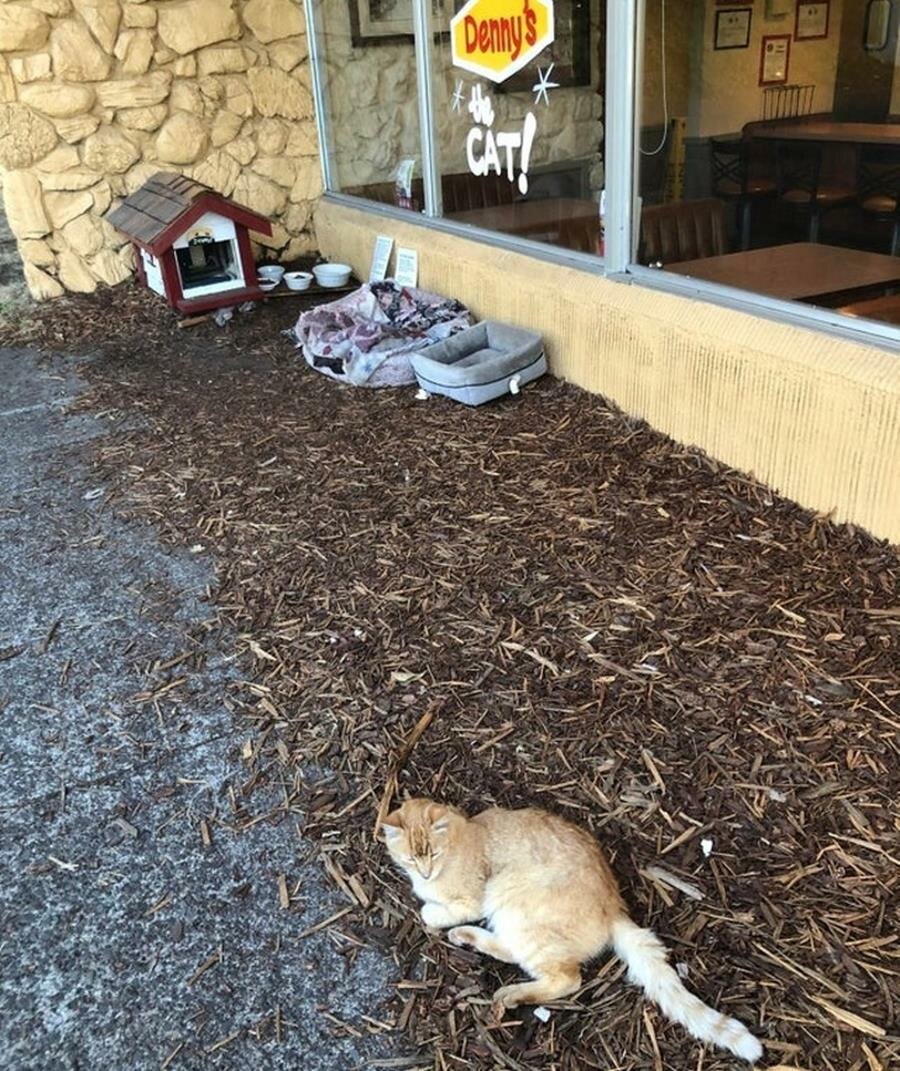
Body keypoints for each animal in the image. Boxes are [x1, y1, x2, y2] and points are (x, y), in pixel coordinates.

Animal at [383, 796, 762, 1062]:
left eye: (433, 854)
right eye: (411, 858)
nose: (424, 873)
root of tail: (614, 906)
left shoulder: (472, 900)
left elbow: (434, 913)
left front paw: (429, 909)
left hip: (511, 903)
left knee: (565, 978)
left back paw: (509, 993)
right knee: (515, 953)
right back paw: (468, 940)